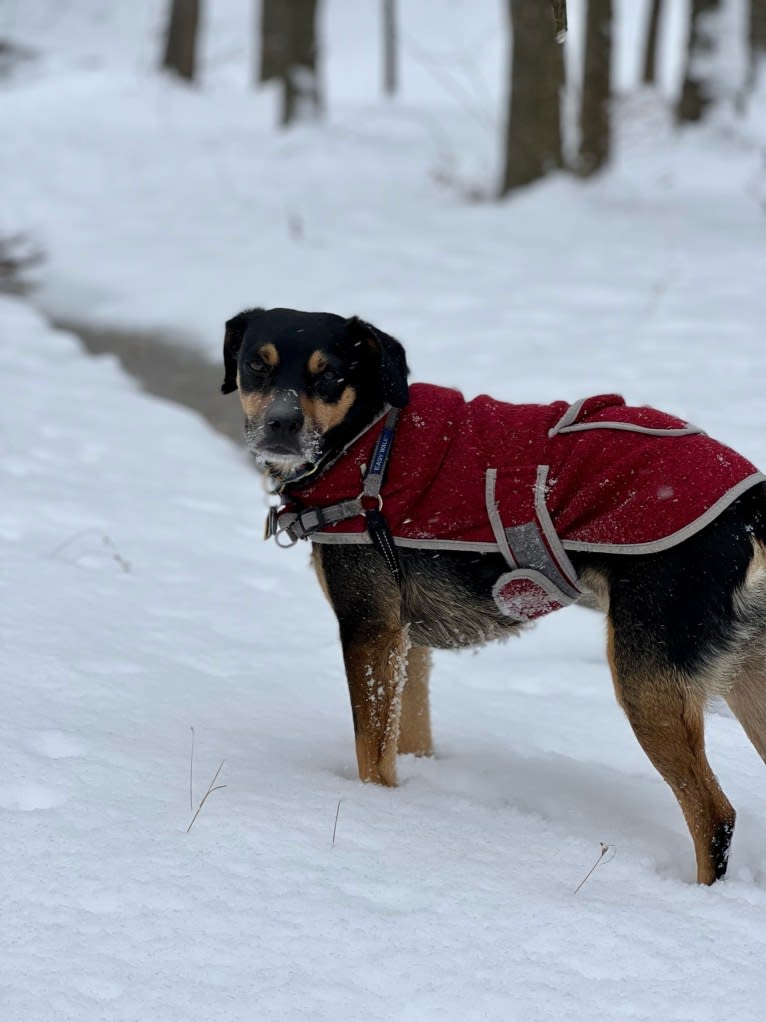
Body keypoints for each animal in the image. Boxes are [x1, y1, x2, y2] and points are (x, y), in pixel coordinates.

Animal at [221, 304, 766, 887]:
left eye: (329, 375)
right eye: (256, 365)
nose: (281, 423)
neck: (366, 440)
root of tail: (751, 506)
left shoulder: (368, 628)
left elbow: (372, 755)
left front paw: (375, 813)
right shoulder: (406, 639)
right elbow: (407, 735)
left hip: (648, 681)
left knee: (715, 814)